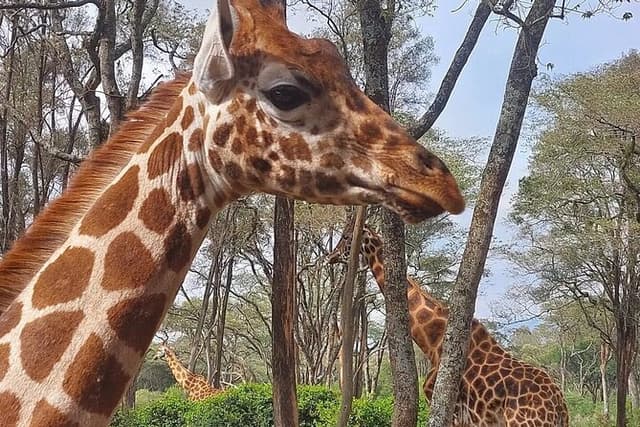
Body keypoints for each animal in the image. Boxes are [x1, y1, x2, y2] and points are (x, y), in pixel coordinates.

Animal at [327, 224, 569, 427]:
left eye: (346, 236)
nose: (331, 256)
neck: (432, 342)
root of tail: (560, 407)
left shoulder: (447, 405)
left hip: (525, 423)